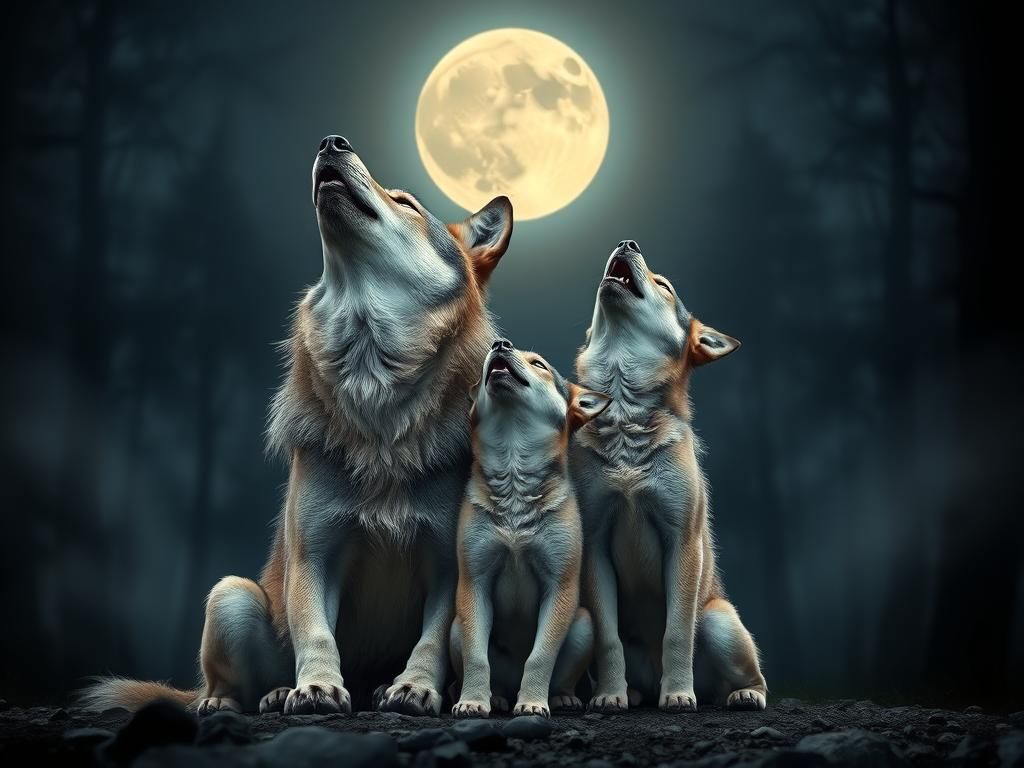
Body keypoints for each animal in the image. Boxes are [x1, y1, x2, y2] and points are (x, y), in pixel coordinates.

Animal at [82, 135, 513, 716]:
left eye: (405, 202)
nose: (332, 142)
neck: (376, 395)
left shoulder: (449, 565)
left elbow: (431, 640)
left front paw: (415, 689)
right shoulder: (314, 554)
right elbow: (315, 631)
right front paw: (317, 688)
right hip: (231, 594)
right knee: (229, 683)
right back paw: (254, 696)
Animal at [450, 339, 608, 719]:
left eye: (539, 364)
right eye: (487, 357)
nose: (500, 344)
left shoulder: (560, 588)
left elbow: (540, 658)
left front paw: (533, 704)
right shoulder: (473, 584)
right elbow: (477, 658)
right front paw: (472, 701)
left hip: (584, 623)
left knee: (560, 677)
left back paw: (559, 697)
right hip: (455, 628)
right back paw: (495, 697)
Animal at [572, 240, 768, 712]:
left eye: (664, 285)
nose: (628, 242)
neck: (625, 414)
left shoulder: (682, 543)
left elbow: (677, 633)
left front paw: (678, 694)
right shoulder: (595, 547)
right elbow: (608, 640)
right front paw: (608, 696)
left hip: (718, 621)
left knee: (753, 678)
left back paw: (739, 694)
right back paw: (635, 692)